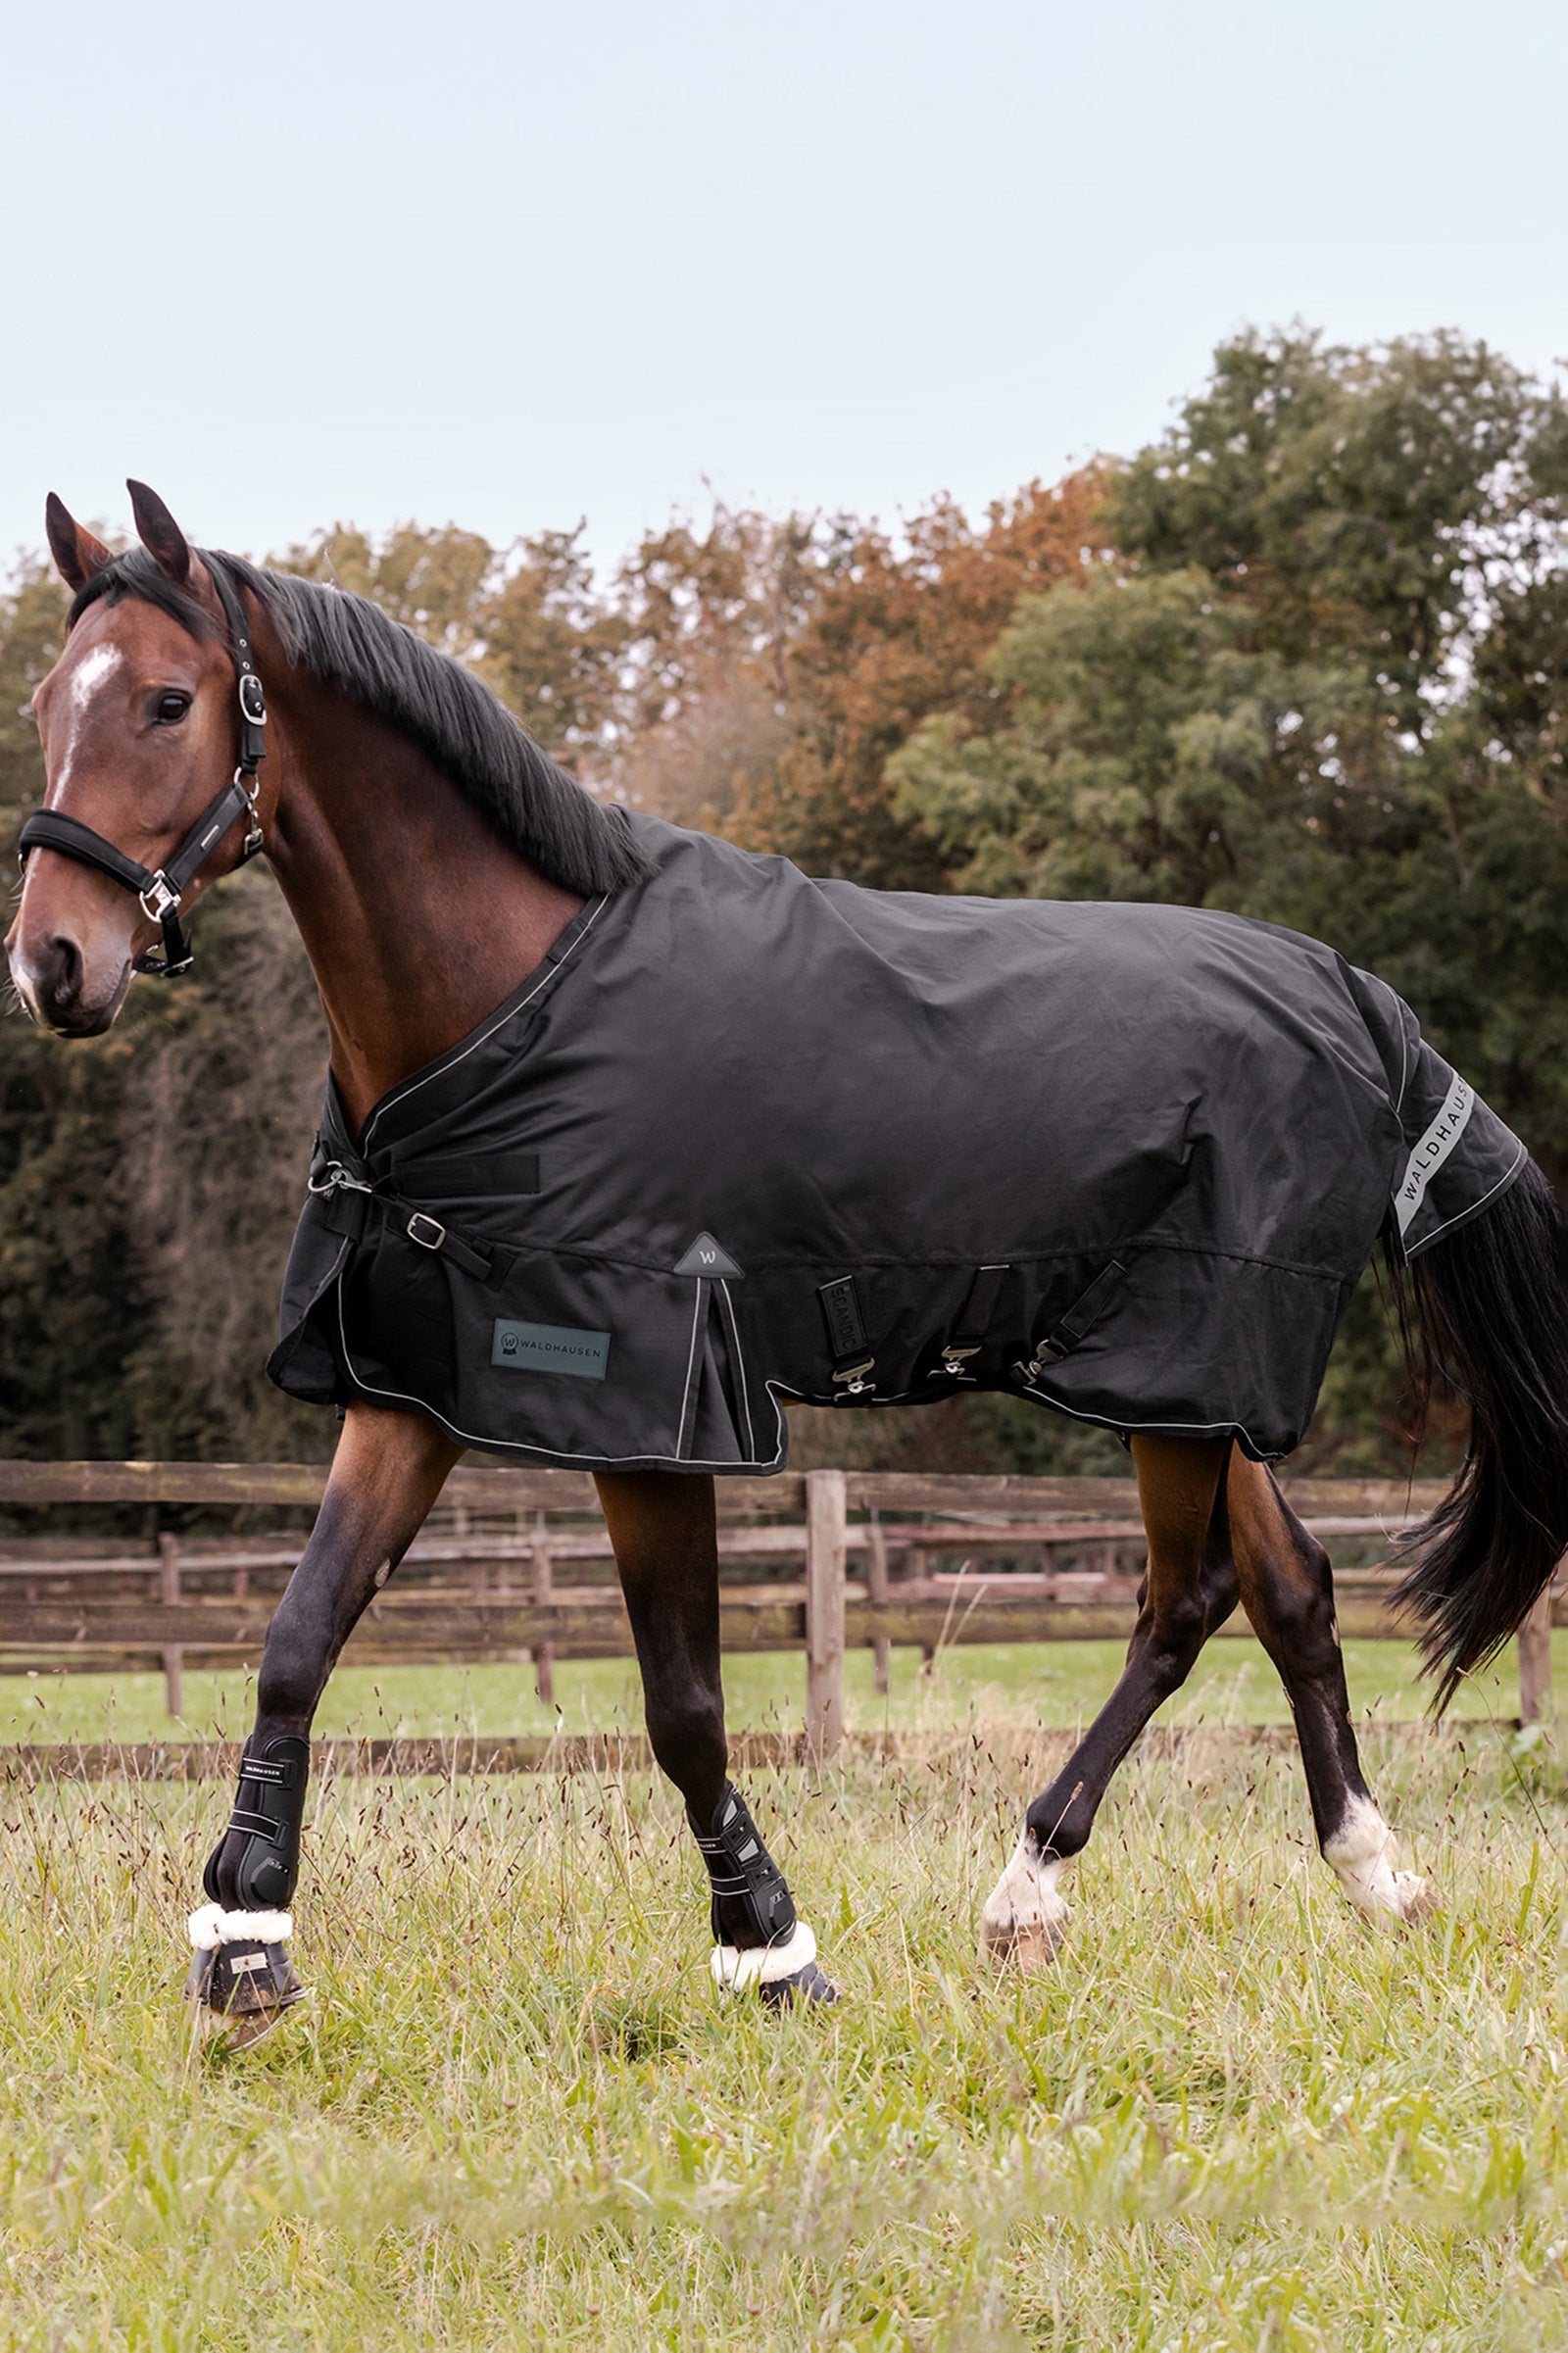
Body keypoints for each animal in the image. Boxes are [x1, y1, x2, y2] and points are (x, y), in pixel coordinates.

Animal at [10, 481, 1568, 2046]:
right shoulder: (416, 1380)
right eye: (43, 703)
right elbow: (297, 1639)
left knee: (1185, 1602)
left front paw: (771, 1946)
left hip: (1184, 1366)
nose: (51, 967)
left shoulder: (651, 1402)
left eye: (166, 701)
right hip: (1181, 1384)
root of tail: (1353, 995)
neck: (512, 997)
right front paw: (244, 1944)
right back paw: (1371, 1873)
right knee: (1288, 1584)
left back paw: (1031, 1888)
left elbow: (684, 1705)